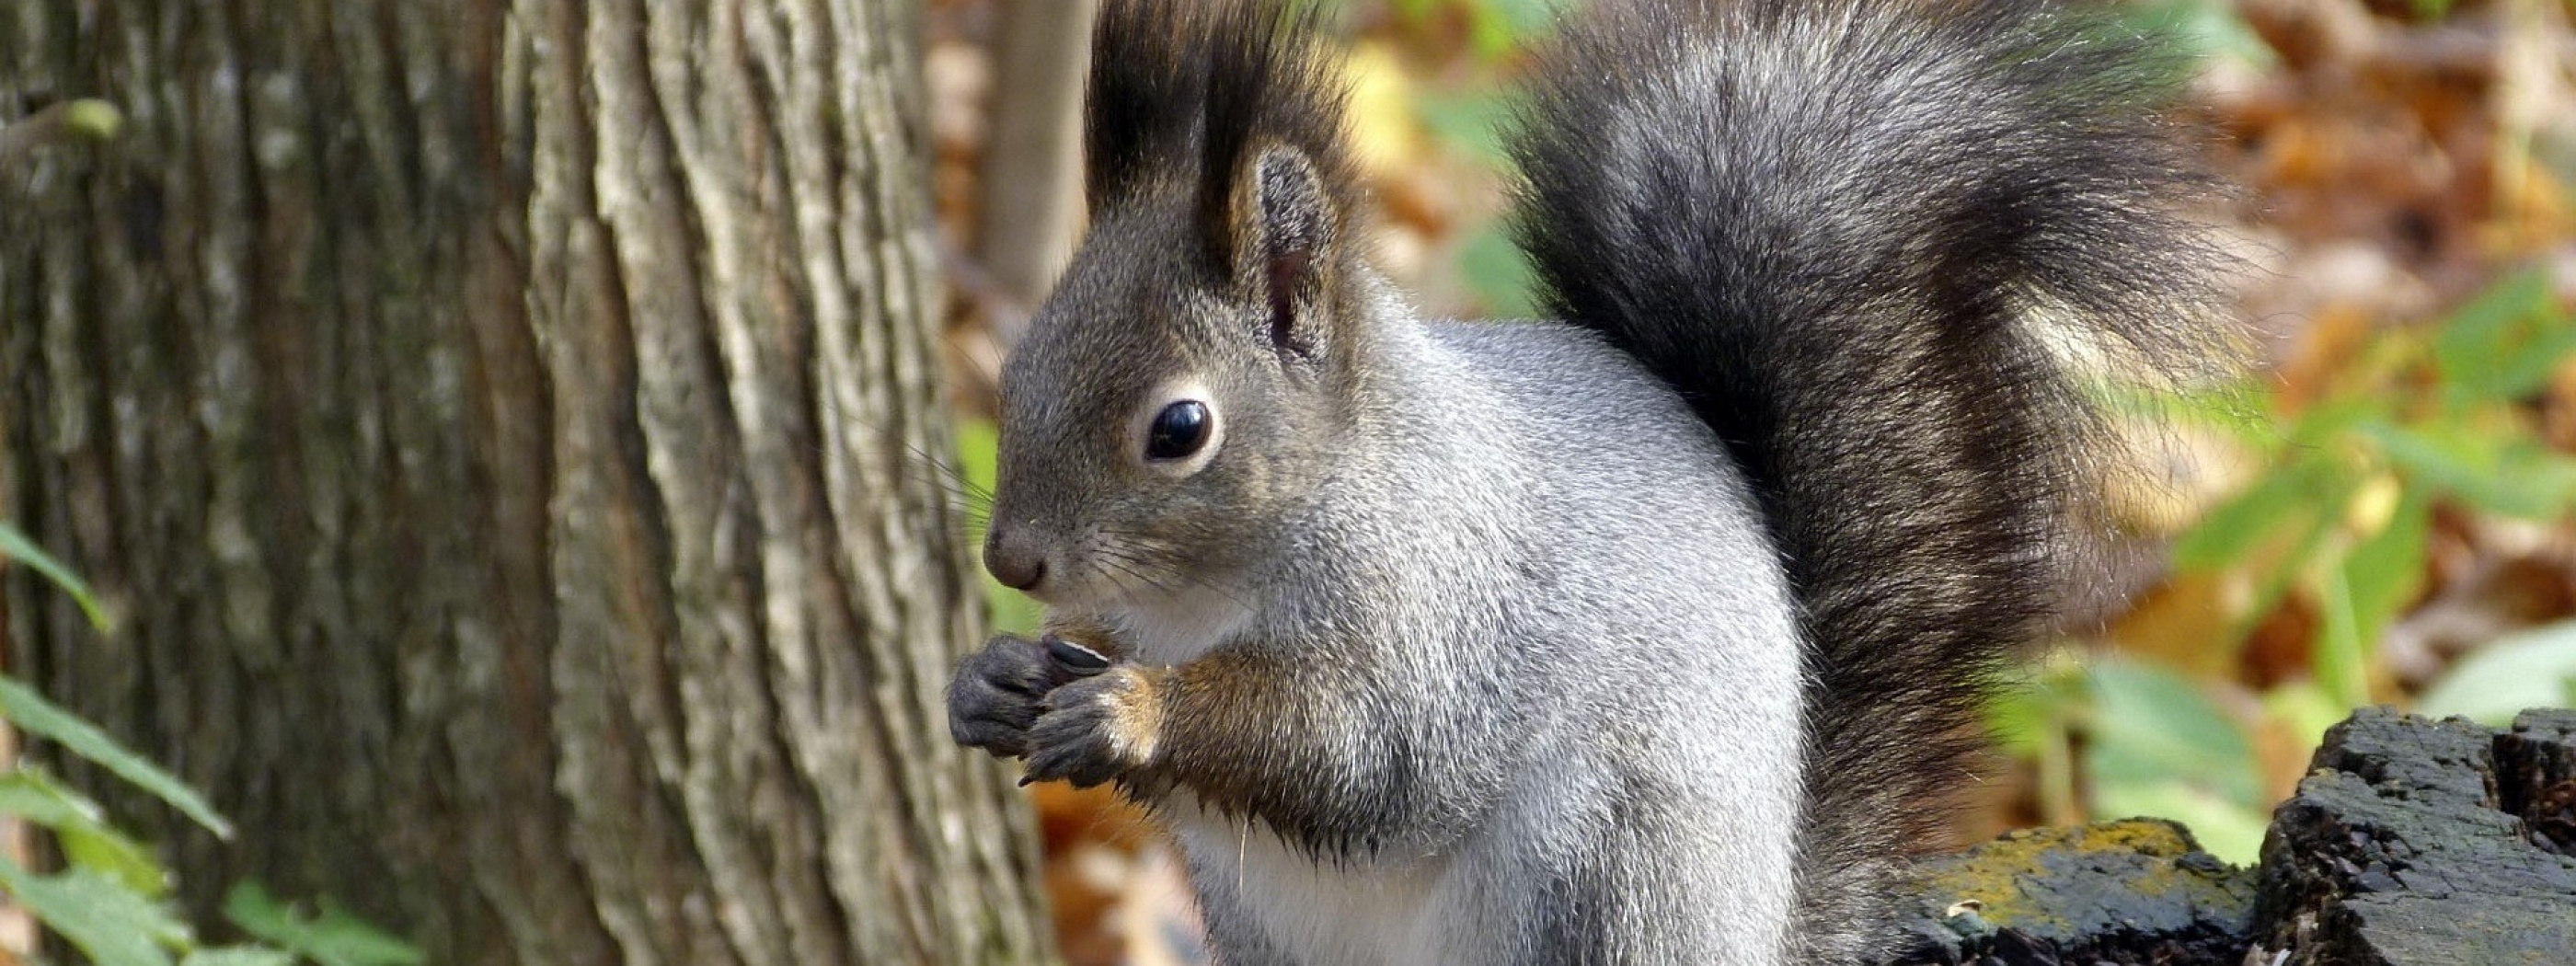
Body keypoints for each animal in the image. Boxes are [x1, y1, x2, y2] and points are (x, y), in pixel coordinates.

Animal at [948, 0, 2215, 963]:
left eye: (1181, 428)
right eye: (1021, 360)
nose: (1012, 559)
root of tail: (1759, 929)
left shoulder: (1439, 610)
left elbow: (1359, 751)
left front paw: (1132, 710)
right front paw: (997, 680)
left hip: (1602, 864)